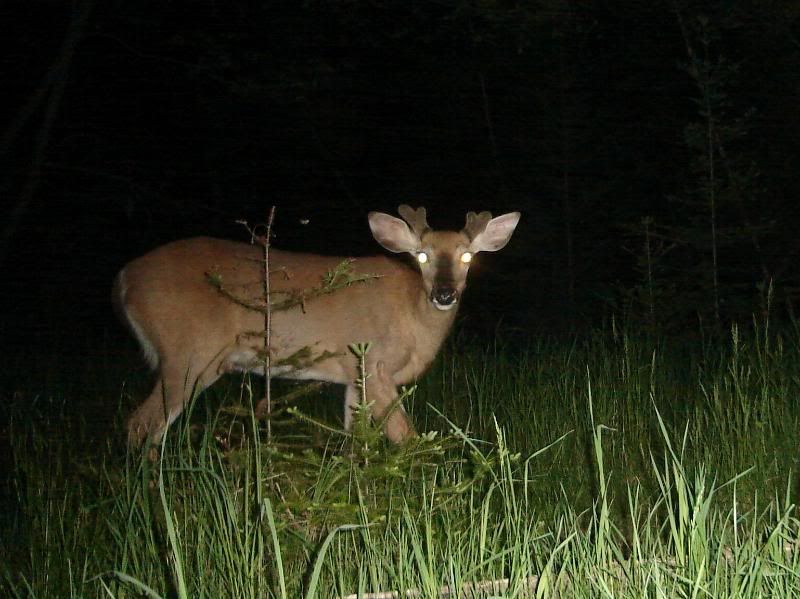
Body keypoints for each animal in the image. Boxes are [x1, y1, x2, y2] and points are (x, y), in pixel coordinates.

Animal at [114, 205, 520, 447]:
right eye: (421, 255)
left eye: (468, 257)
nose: (444, 293)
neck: (413, 318)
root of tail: (124, 279)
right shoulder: (374, 364)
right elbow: (405, 435)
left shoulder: (352, 375)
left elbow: (354, 439)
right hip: (188, 352)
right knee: (141, 423)